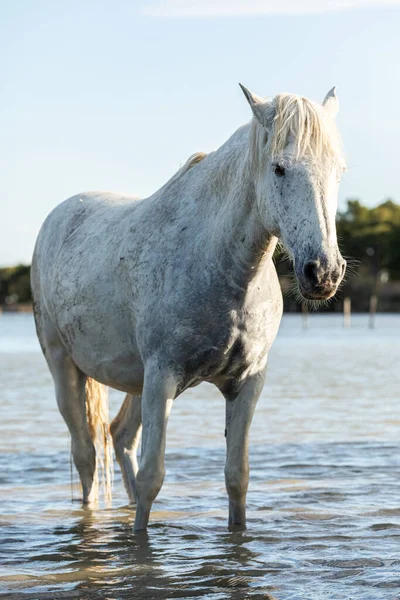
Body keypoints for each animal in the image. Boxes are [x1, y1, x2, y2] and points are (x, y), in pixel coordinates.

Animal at [30, 83, 346, 528]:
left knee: (120, 436)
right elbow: (152, 478)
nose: (323, 273)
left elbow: (237, 477)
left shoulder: (247, 383)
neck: (220, 263)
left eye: (340, 169)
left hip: (136, 380)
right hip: (64, 366)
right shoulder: (163, 377)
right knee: (86, 456)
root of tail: (58, 216)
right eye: (279, 169)